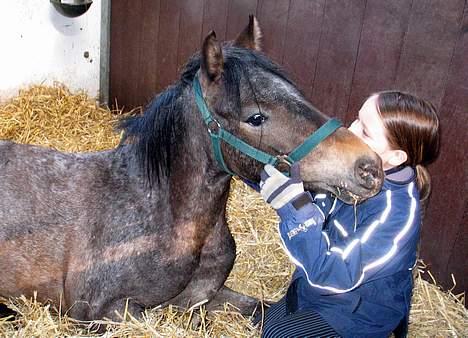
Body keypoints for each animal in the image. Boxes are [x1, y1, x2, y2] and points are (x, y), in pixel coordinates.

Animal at [0, 16, 384, 322]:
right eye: (255, 117)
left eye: (300, 95)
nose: (368, 167)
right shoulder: (100, 310)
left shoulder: (208, 293)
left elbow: (258, 309)